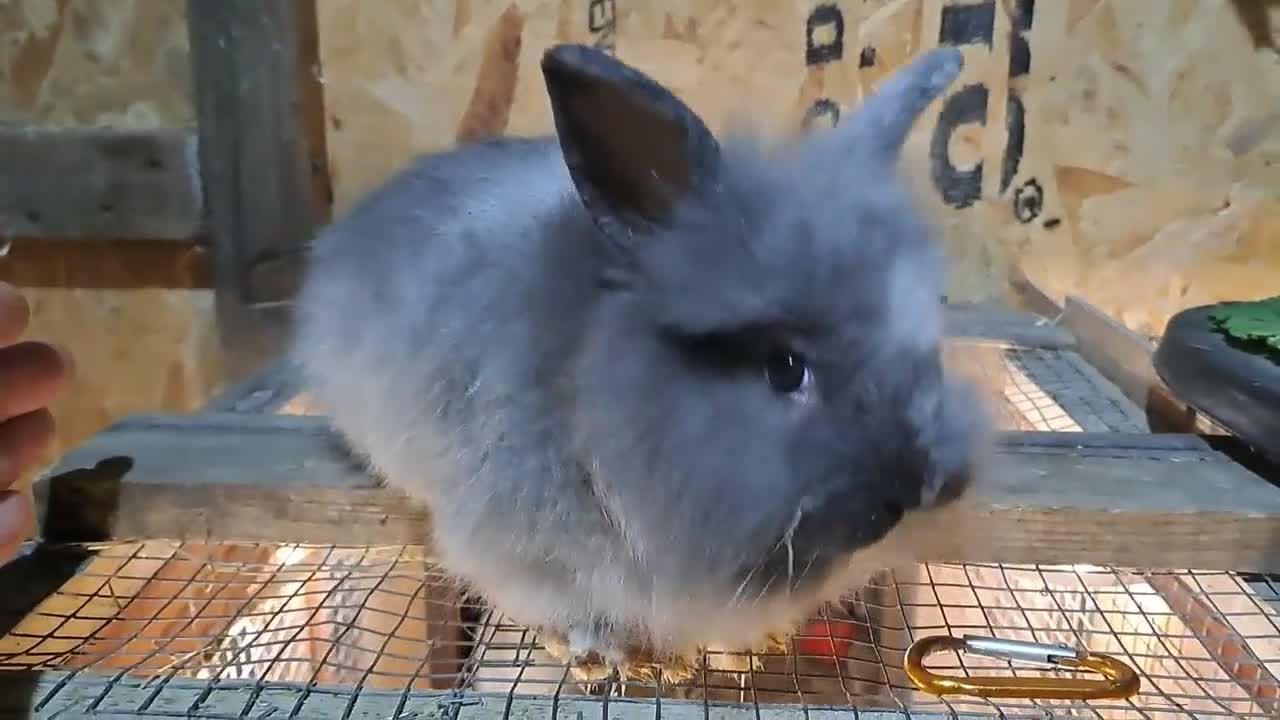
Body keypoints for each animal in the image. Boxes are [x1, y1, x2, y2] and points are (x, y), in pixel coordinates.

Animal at [292, 43, 987, 684]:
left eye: (924, 333)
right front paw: (605, 657)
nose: (932, 482)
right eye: (785, 368)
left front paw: (748, 647)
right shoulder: (526, 555)